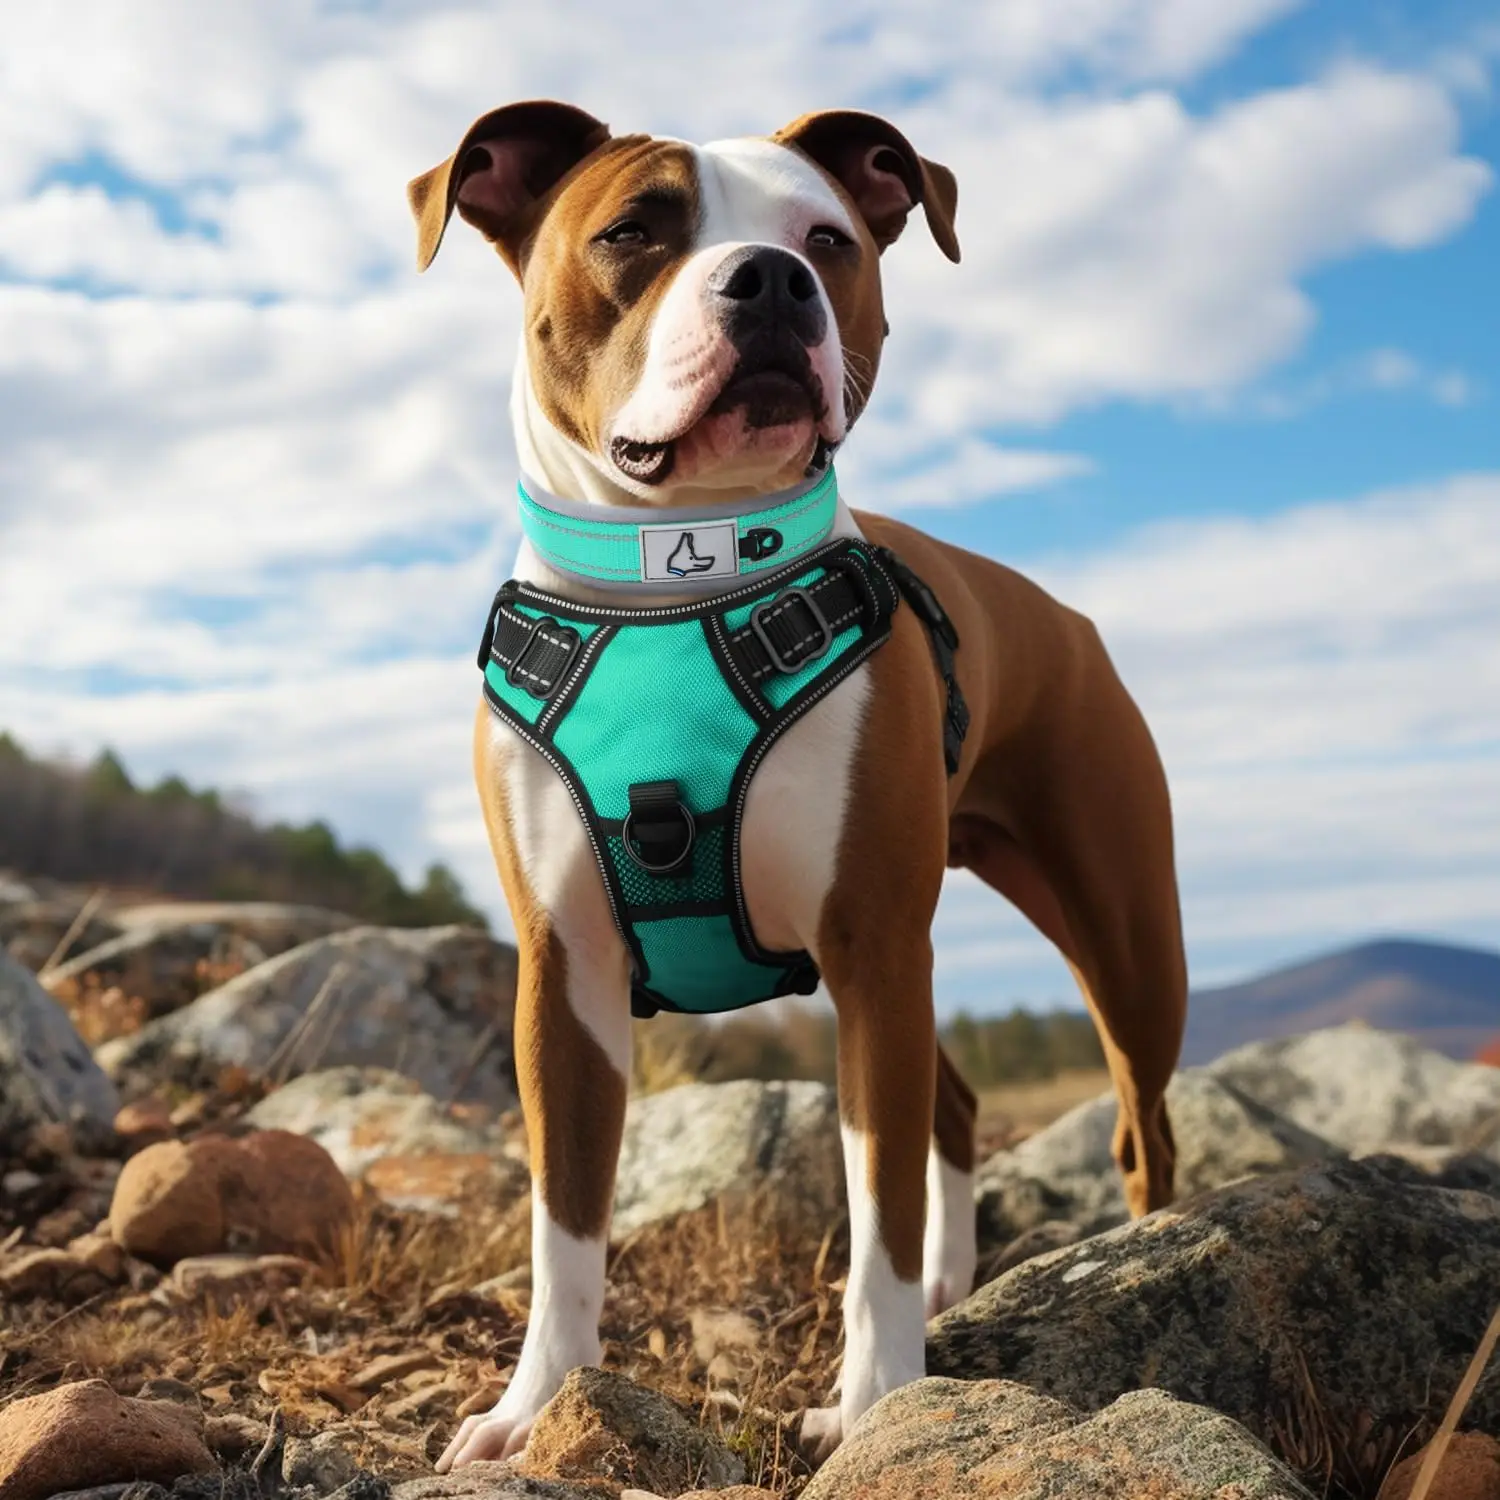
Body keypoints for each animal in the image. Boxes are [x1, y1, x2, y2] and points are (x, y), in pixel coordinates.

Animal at [408, 99, 1182, 1470]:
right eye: (632, 231)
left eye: (829, 239)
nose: (772, 279)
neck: (680, 576)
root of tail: (1065, 615)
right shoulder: (565, 974)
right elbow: (565, 1224)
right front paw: (533, 1406)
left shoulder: (872, 944)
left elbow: (874, 1221)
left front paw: (877, 1405)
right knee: (956, 1104)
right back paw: (957, 1278)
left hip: (1125, 949)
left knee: (1140, 1124)